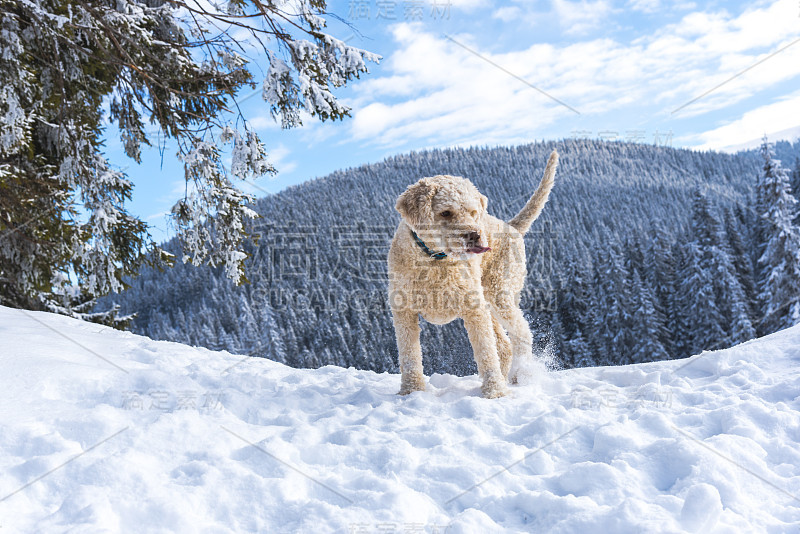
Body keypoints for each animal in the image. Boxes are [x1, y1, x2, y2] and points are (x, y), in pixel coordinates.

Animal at [388, 150, 556, 398]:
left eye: (473, 212)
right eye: (446, 213)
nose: (476, 235)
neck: (435, 260)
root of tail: (511, 226)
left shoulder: (473, 309)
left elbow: (486, 351)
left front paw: (495, 392)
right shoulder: (403, 311)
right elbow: (409, 356)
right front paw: (411, 391)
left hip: (499, 293)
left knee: (522, 334)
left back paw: (520, 374)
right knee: (504, 345)